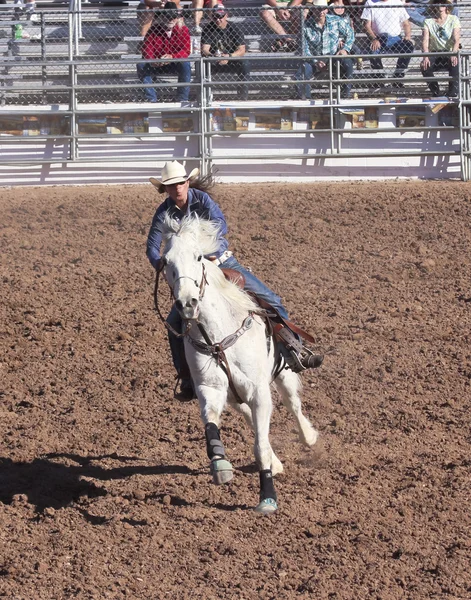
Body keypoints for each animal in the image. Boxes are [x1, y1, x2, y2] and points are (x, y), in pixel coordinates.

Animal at [160, 213, 318, 512]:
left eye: (199, 256)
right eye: (166, 261)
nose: (187, 303)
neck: (218, 337)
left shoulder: (260, 391)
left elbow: (260, 446)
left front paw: (267, 496)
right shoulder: (210, 389)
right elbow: (211, 425)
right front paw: (220, 466)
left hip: (283, 372)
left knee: (293, 404)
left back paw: (309, 436)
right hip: (235, 396)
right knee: (248, 415)